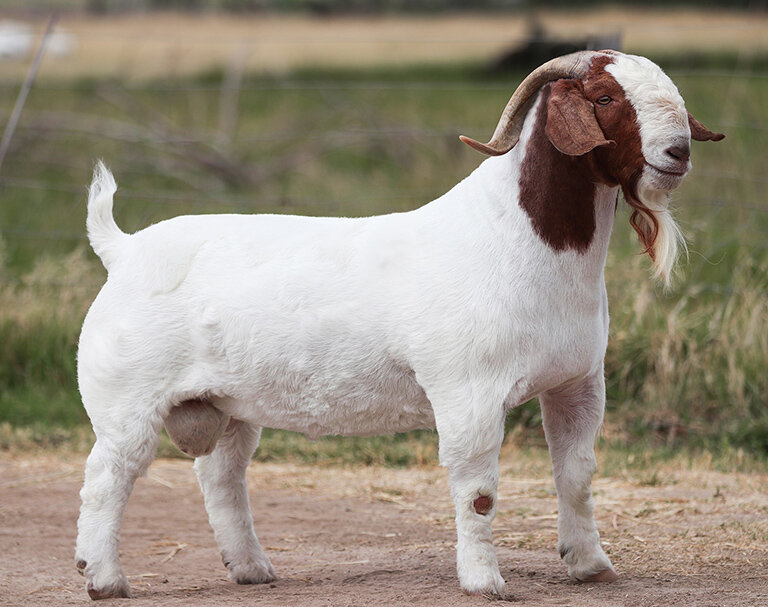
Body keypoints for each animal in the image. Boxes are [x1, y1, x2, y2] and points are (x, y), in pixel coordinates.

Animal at [75, 50, 723, 600]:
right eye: (606, 96)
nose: (679, 152)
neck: (516, 239)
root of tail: (122, 250)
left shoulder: (578, 383)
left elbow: (578, 476)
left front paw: (591, 567)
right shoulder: (469, 394)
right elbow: (478, 492)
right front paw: (484, 582)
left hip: (230, 404)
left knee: (221, 478)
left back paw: (253, 569)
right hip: (128, 402)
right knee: (107, 478)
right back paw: (104, 579)